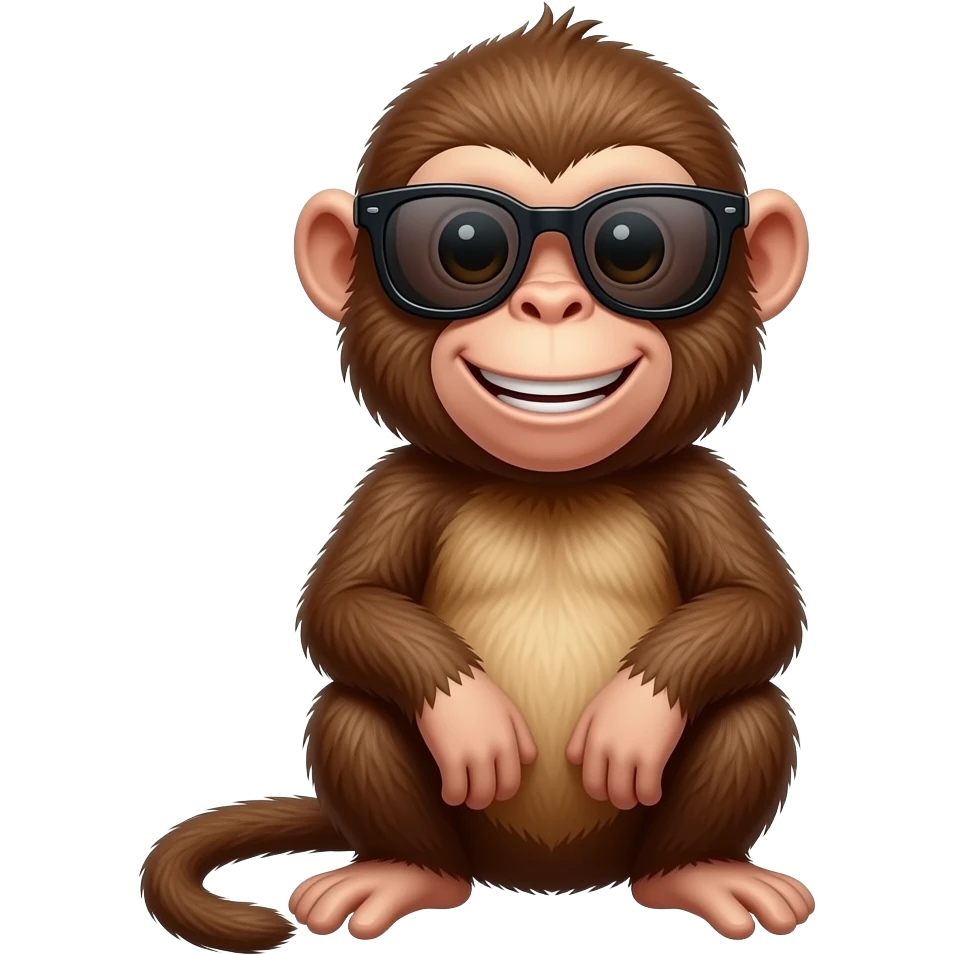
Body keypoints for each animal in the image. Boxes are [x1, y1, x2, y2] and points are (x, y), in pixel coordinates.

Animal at [139, 7, 814, 952]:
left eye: (635, 245)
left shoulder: (702, 482)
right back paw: (400, 870)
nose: (551, 307)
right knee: (352, 711)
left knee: (749, 709)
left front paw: (632, 717)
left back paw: (699, 870)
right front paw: (471, 718)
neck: (551, 488)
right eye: (466, 245)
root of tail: (548, 880)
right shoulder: (398, 484)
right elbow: (343, 606)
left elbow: (757, 606)